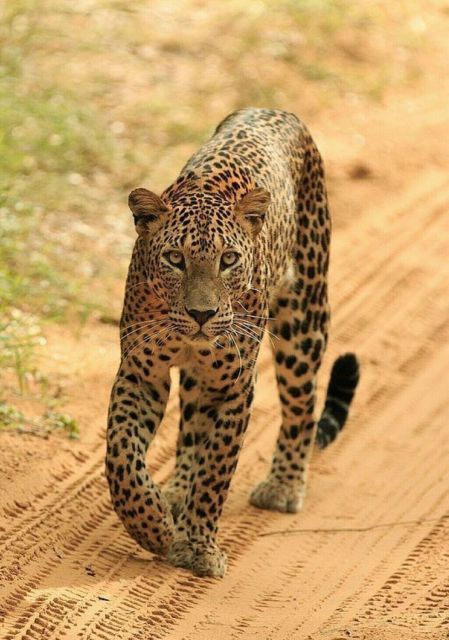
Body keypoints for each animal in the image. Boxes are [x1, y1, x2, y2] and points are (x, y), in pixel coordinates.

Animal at [106, 107, 360, 578]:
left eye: (229, 260)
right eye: (174, 259)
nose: (201, 315)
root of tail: (275, 110)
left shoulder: (235, 385)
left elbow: (216, 473)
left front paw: (198, 549)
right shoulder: (141, 371)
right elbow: (122, 455)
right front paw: (153, 526)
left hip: (305, 319)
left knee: (301, 410)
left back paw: (282, 486)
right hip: (199, 377)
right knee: (191, 428)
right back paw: (175, 491)